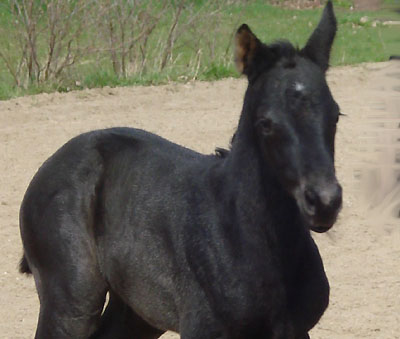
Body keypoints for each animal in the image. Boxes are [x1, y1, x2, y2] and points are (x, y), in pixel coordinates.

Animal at [19, 2, 340, 339]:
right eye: (266, 123)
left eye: (335, 115)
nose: (324, 202)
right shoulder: (203, 329)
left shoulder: (295, 330)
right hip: (71, 304)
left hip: (138, 309)